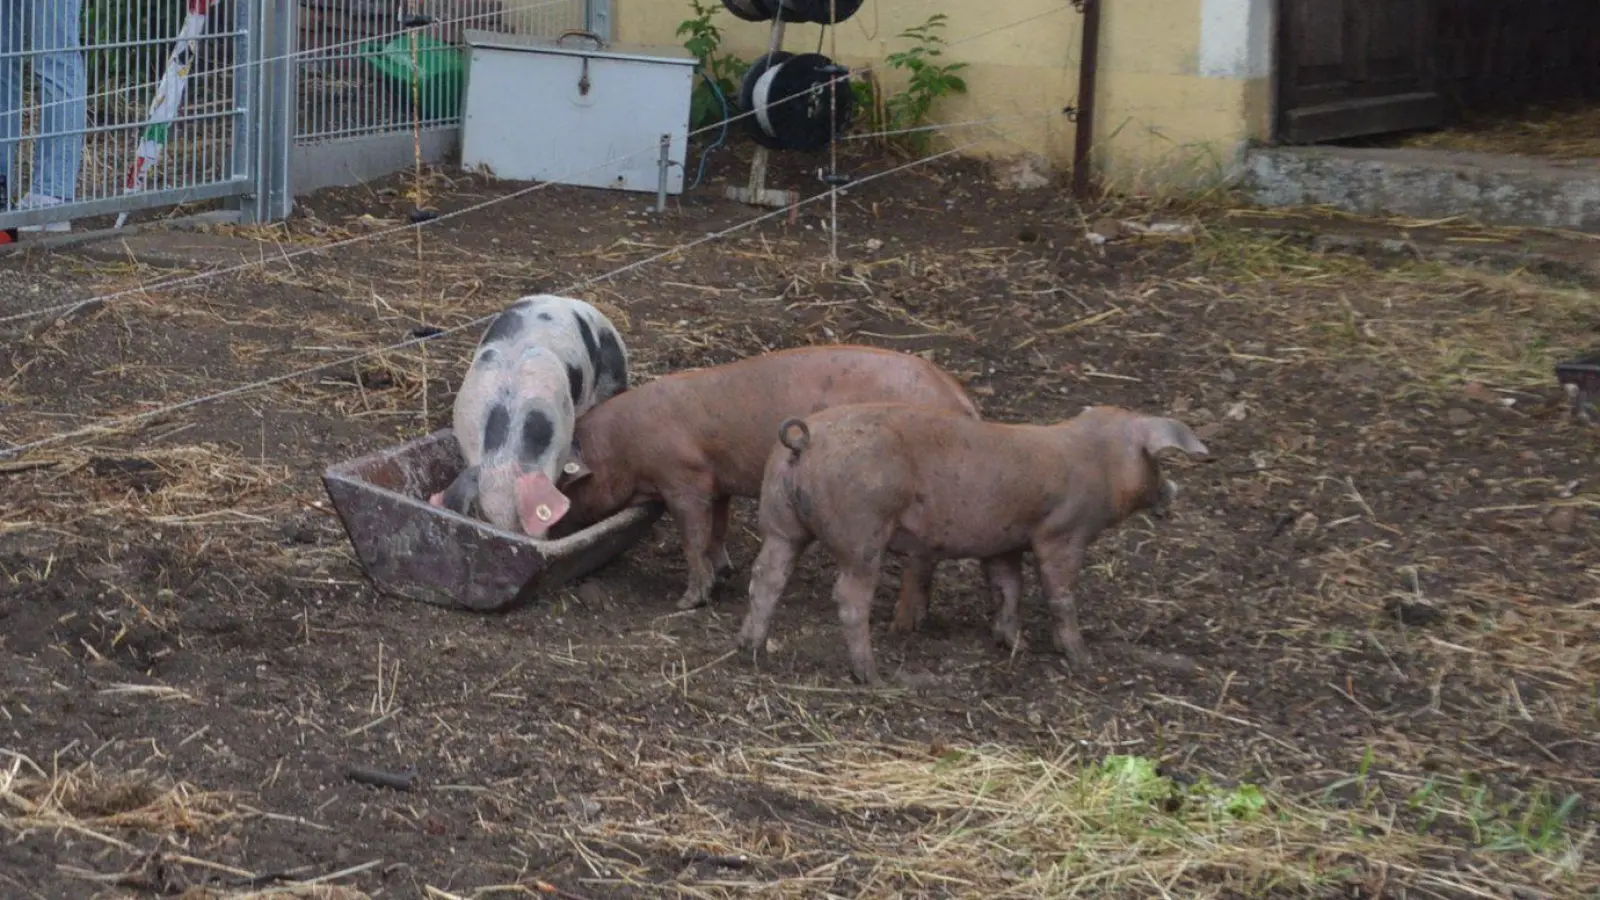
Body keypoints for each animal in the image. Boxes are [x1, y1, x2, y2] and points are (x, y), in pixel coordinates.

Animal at [550, 342, 979, 608]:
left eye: (566, 488)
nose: (549, 531)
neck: (622, 448)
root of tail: (959, 398)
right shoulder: (718, 481)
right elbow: (717, 529)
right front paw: (725, 573)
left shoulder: (685, 479)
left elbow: (693, 537)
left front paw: (688, 601)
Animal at [742, 398, 1203, 679]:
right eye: (1156, 461)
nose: (1173, 491)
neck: (1098, 459)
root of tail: (804, 440)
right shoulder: (1062, 535)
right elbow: (1059, 595)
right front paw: (1082, 660)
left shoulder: (1003, 543)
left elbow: (1008, 589)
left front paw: (1015, 645)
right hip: (862, 532)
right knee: (848, 597)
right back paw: (872, 675)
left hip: (779, 520)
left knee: (765, 577)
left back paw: (750, 647)